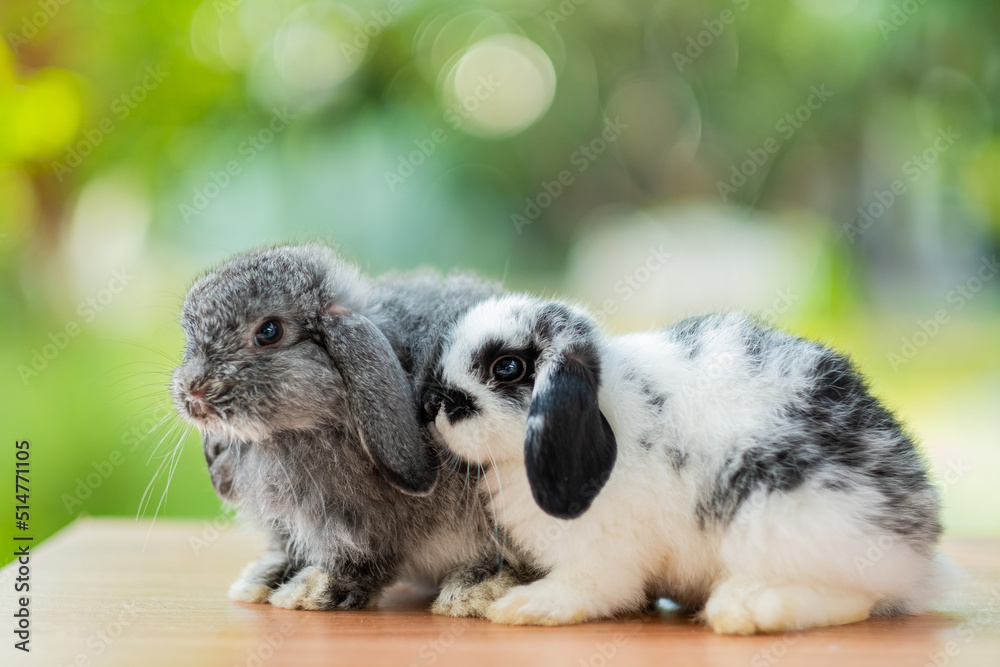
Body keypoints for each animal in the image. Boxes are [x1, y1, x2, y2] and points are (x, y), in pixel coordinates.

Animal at [172, 245, 533, 613]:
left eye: (269, 331)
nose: (192, 392)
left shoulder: (367, 528)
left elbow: (361, 562)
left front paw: (313, 589)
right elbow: (289, 546)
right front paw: (266, 579)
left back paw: (476, 588)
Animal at [421, 294, 945, 633]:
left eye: (507, 367)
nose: (433, 404)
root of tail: (917, 551)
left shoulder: (602, 549)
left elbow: (590, 586)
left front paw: (527, 606)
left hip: (774, 512)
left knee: (854, 598)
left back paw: (746, 609)